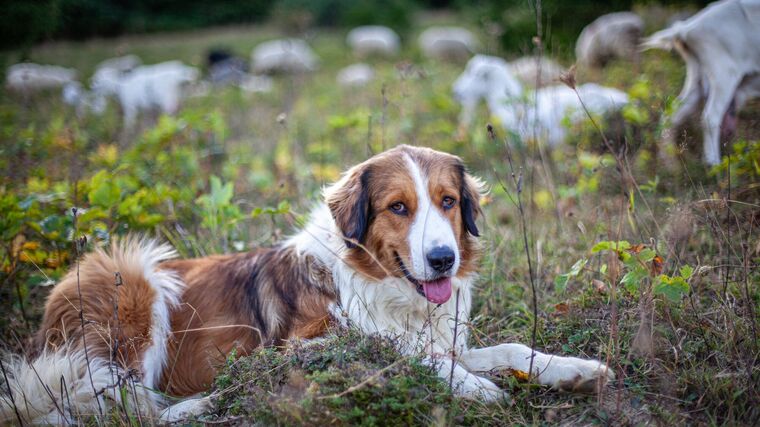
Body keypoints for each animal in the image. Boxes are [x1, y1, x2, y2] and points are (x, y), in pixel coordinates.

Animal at [0, 145, 612, 422]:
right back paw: (206, 403)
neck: (380, 287)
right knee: (127, 405)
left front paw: (573, 370)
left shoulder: (446, 336)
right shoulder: (301, 346)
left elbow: (507, 347)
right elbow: (401, 354)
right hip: (130, 276)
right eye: (398, 207)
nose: (443, 259)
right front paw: (476, 388)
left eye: (448, 202)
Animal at [640, 0, 760, 166]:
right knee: (710, 117)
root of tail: (686, 30)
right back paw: (714, 164)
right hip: (724, 74)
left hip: (696, 78)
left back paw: (670, 164)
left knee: (671, 116)